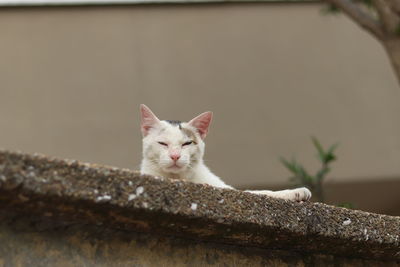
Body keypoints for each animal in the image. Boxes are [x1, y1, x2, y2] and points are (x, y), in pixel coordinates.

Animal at [139, 105, 310, 202]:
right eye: (162, 143)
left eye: (187, 143)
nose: (175, 156)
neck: (178, 178)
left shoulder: (224, 187)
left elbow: (261, 191)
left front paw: (295, 193)